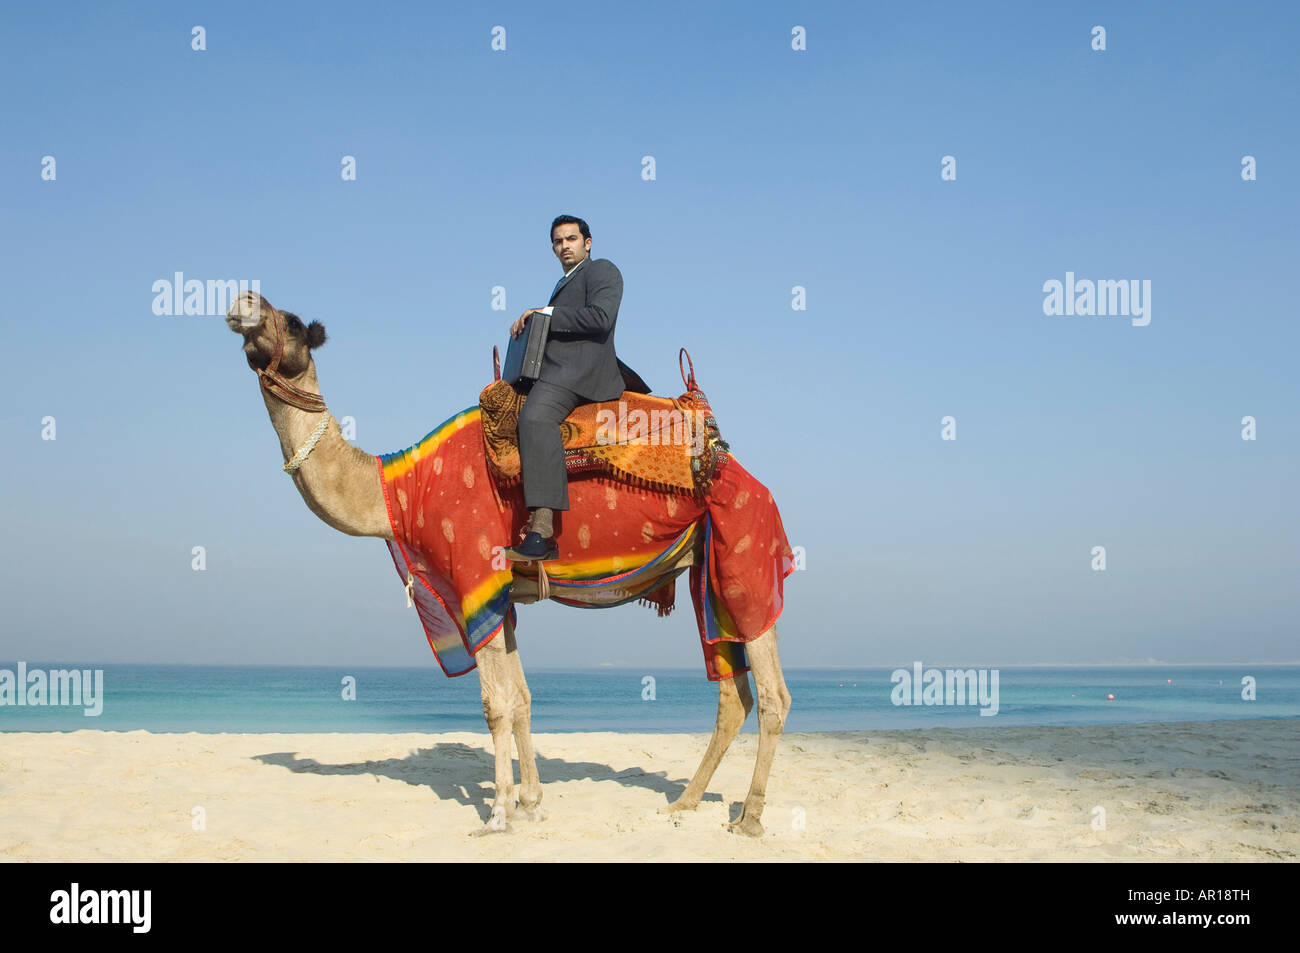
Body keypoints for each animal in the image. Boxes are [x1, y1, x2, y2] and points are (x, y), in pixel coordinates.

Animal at [224, 290, 792, 837]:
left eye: (291, 321)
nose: (241, 300)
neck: (402, 490)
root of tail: (740, 469)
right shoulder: (500, 597)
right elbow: (520, 698)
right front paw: (532, 804)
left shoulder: (473, 574)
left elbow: (494, 704)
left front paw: (497, 814)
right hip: (708, 575)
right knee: (732, 693)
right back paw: (685, 802)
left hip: (744, 557)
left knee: (772, 693)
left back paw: (750, 818)